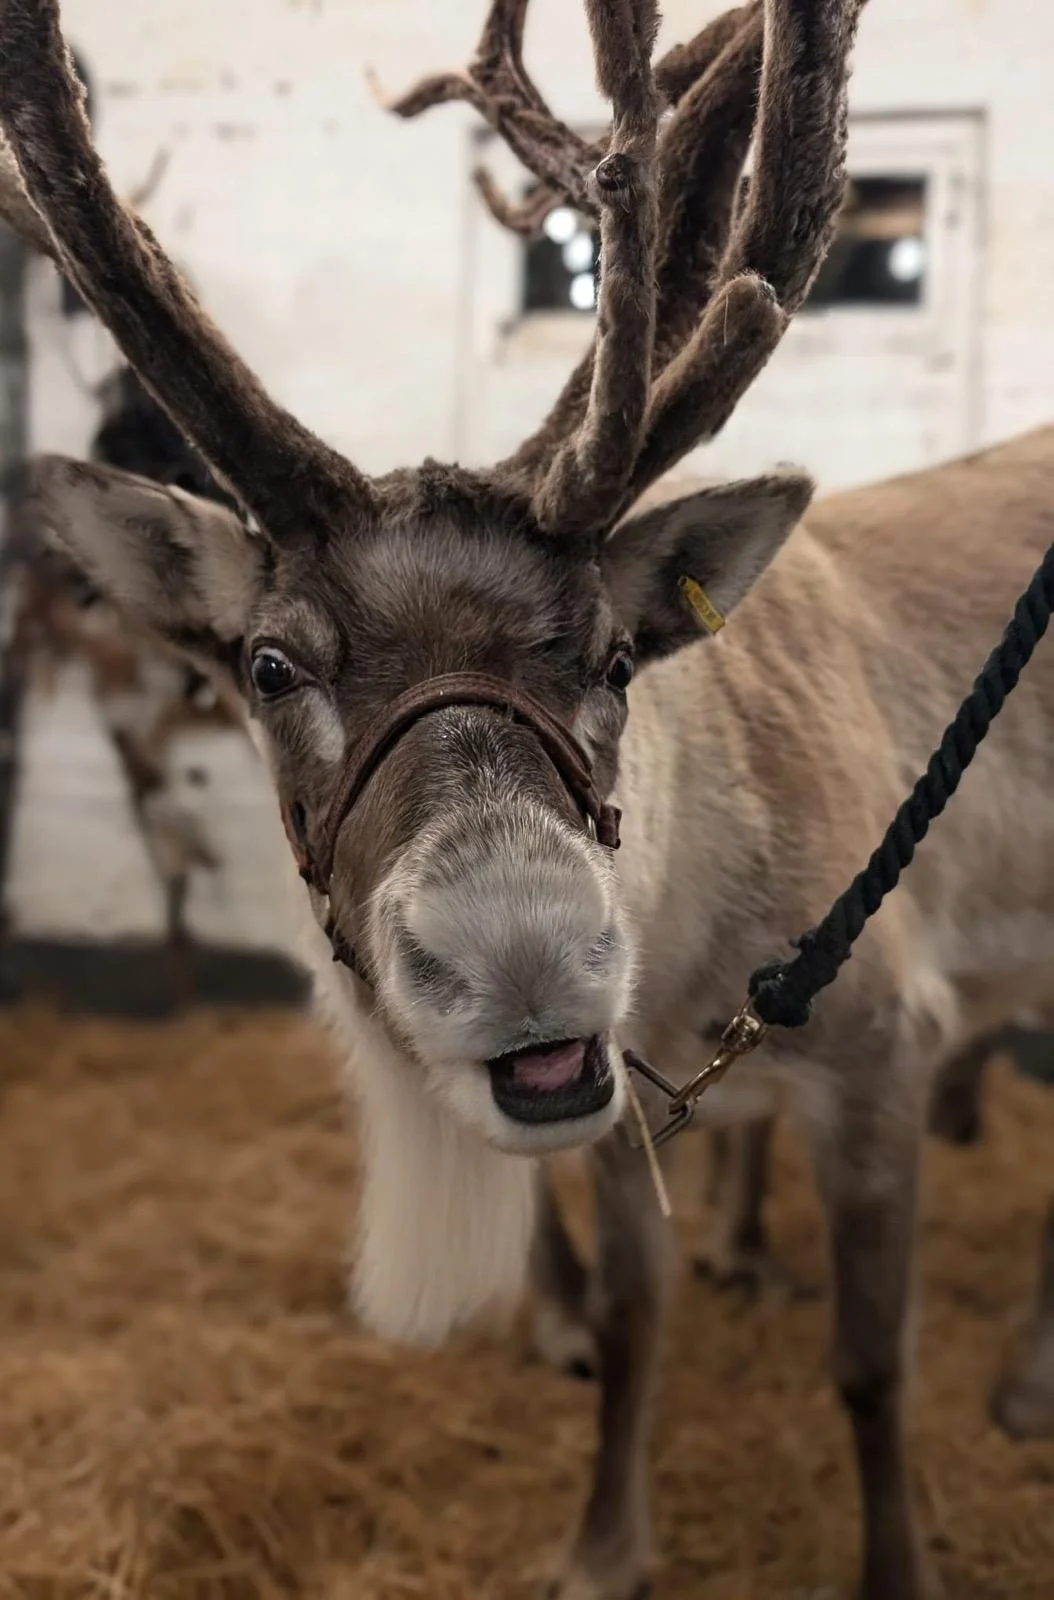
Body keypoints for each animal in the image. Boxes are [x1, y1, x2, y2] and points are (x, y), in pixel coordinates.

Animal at [0, 0, 1051, 1596]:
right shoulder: (625, 1103)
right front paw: (603, 1548)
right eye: (267, 665)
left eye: (615, 655)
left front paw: (896, 1569)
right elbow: (631, 1319)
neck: (704, 957)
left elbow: (873, 1369)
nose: (528, 958)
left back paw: (1021, 1384)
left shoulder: (889, 1046)